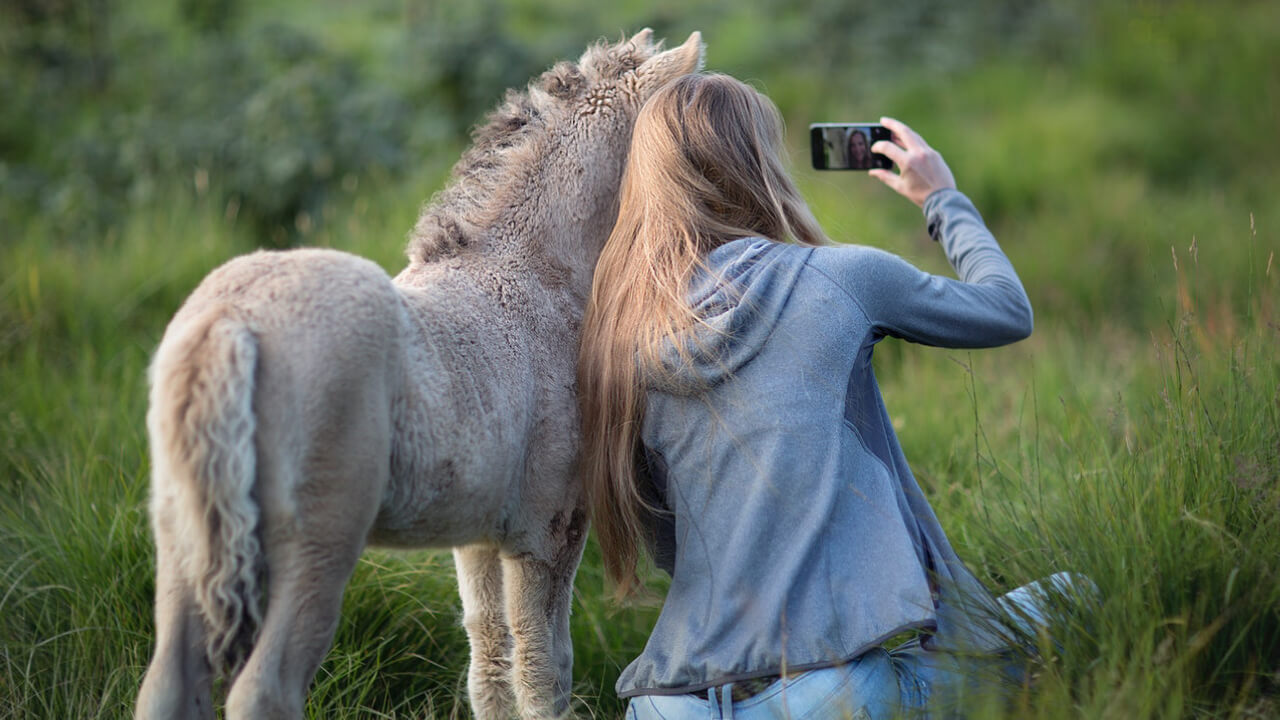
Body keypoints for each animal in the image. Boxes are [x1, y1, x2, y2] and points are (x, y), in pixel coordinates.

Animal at [134, 30, 704, 720]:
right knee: (262, 689)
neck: (539, 276)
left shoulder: (480, 535)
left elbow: (491, 661)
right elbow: (544, 669)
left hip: (183, 535)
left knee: (166, 681)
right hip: (316, 548)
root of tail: (231, 319)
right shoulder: (549, 530)